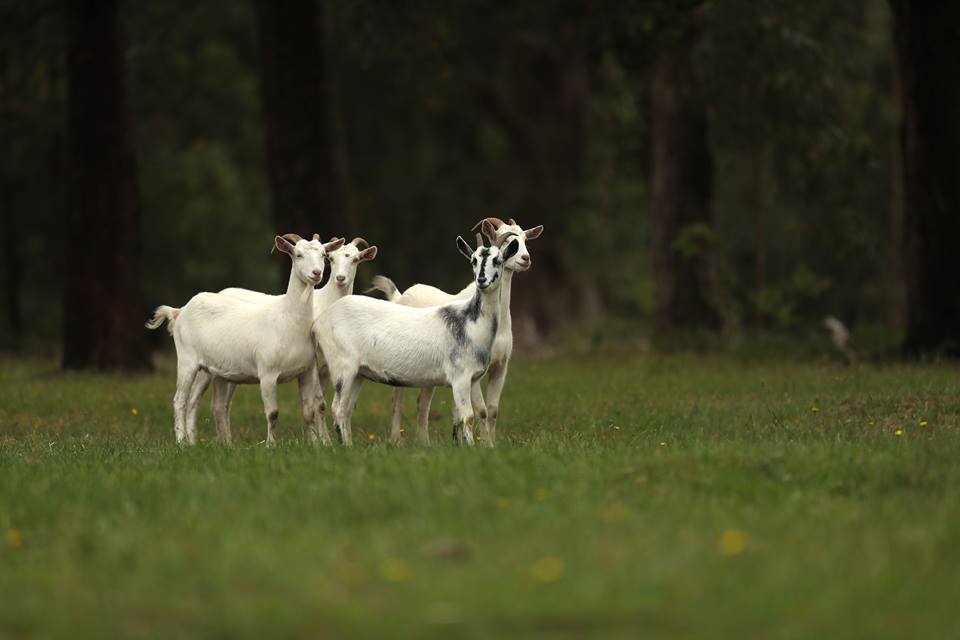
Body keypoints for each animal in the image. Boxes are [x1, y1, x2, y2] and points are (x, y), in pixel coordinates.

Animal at [145, 234, 344, 445]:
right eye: (298, 254)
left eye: (323, 255)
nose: (316, 273)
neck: (288, 320)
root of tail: (180, 311)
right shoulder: (267, 373)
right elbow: (273, 413)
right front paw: (271, 445)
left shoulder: (307, 371)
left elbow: (309, 412)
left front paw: (316, 445)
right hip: (187, 361)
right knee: (180, 400)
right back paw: (182, 442)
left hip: (214, 371)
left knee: (203, 403)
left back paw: (207, 443)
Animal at [316, 234, 520, 446]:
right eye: (474, 260)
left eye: (498, 260)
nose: (482, 280)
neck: (468, 322)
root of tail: (320, 321)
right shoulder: (460, 378)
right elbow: (468, 416)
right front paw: (472, 448)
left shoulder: (473, 379)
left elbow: (468, 416)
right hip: (343, 368)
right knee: (337, 408)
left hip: (359, 374)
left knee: (346, 409)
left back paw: (348, 445)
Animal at [369, 218, 542, 445]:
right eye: (506, 240)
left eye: (524, 239)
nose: (525, 259)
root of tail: (400, 296)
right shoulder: (472, 370)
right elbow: (481, 411)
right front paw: (483, 444)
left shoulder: (500, 367)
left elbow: (492, 410)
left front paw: (489, 443)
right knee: (397, 400)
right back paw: (396, 440)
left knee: (422, 402)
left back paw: (424, 442)